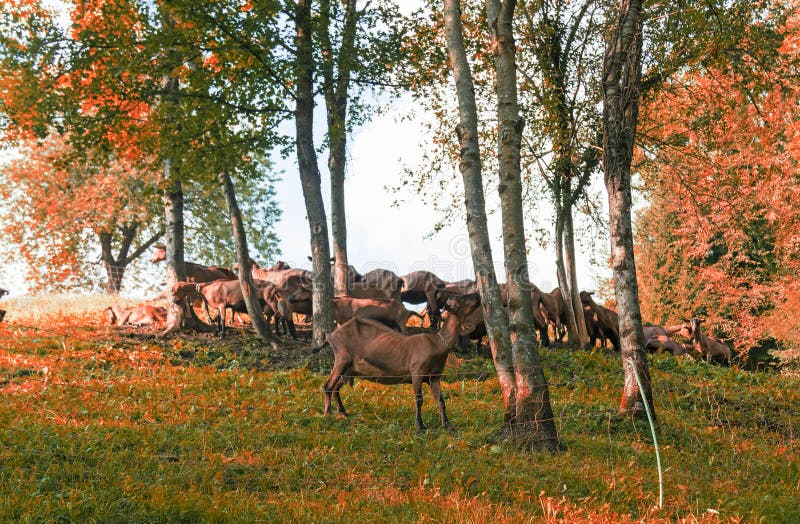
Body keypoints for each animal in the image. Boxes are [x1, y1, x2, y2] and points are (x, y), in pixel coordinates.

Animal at [323, 314, 460, 431]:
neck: (436, 345)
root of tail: (331, 336)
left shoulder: (434, 376)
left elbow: (440, 400)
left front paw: (448, 426)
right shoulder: (417, 373)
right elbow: (419, 399)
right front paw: (420, 426)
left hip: (349, 369)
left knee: (335, 388)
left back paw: (342, 412)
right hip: (342, 360)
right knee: (328, 386)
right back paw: (327, 413)